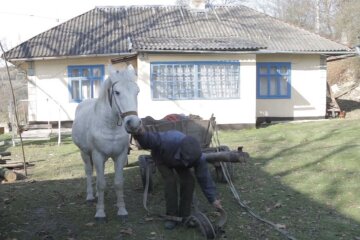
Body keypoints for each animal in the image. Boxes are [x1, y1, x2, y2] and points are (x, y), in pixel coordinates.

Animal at [71, 64, 141, 220]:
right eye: (117, 92)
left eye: (137, 92)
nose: (133, 123)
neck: (110, 126)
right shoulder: (97, 155)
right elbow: (101, 184)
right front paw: (100, 213)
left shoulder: (120, 156)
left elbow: (118, 183)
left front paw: (122, 210)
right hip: (85, 153)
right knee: (89, 172)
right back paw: (91, 196)